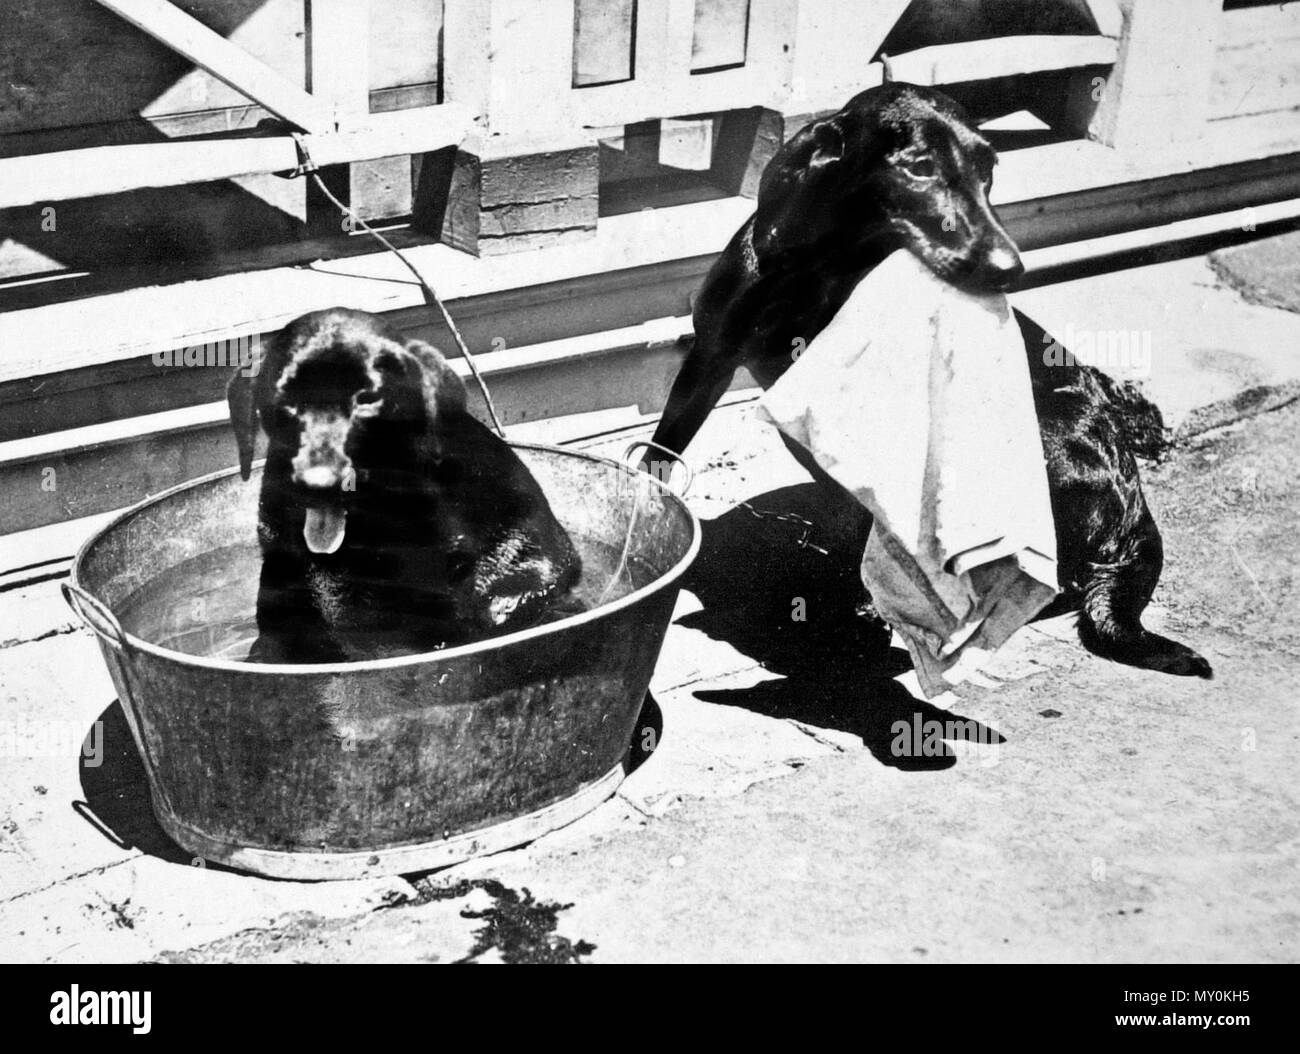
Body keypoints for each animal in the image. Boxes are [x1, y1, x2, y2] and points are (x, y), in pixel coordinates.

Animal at [655, 80, 1211, 675]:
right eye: (919, 167)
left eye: (989, 169)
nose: (1010, 268)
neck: (821, 272)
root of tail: (1137, 516)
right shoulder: (710, 357)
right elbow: (659, 455)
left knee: (1047, 575)